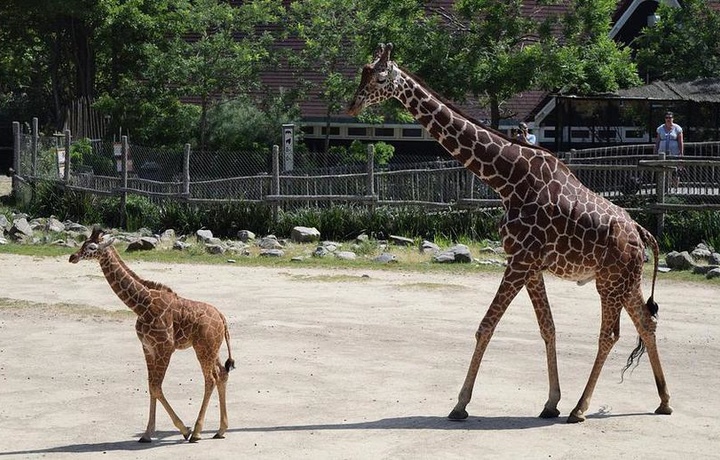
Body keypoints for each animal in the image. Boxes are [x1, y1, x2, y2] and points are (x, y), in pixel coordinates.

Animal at [69, 226, 235, 442]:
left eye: (91, 247)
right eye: (83, 243)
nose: (72, 257)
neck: (141, 305)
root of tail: (222, 318)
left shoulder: (166, 347)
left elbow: (157, 386)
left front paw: (185, 429)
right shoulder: (147, 347)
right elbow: (151, 386)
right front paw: (147, 433)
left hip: (203, 349)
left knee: (211, 379)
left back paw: (197, 432)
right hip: (211, 348)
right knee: (222, 374)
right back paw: (221, 430)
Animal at [346, 44, 672, 424]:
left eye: (381, 78)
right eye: (363, 73)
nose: (352, 105)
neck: (506, 179)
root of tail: (641, 231)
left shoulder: (519, 259)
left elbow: (486, 325)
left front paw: (460, 405)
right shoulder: (529, 265)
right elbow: (548, 328)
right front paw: (550, 401)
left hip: (609, 283)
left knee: (610, 334)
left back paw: (580, 408)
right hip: (625, 281)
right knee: (647, 324)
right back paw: (664, 401)